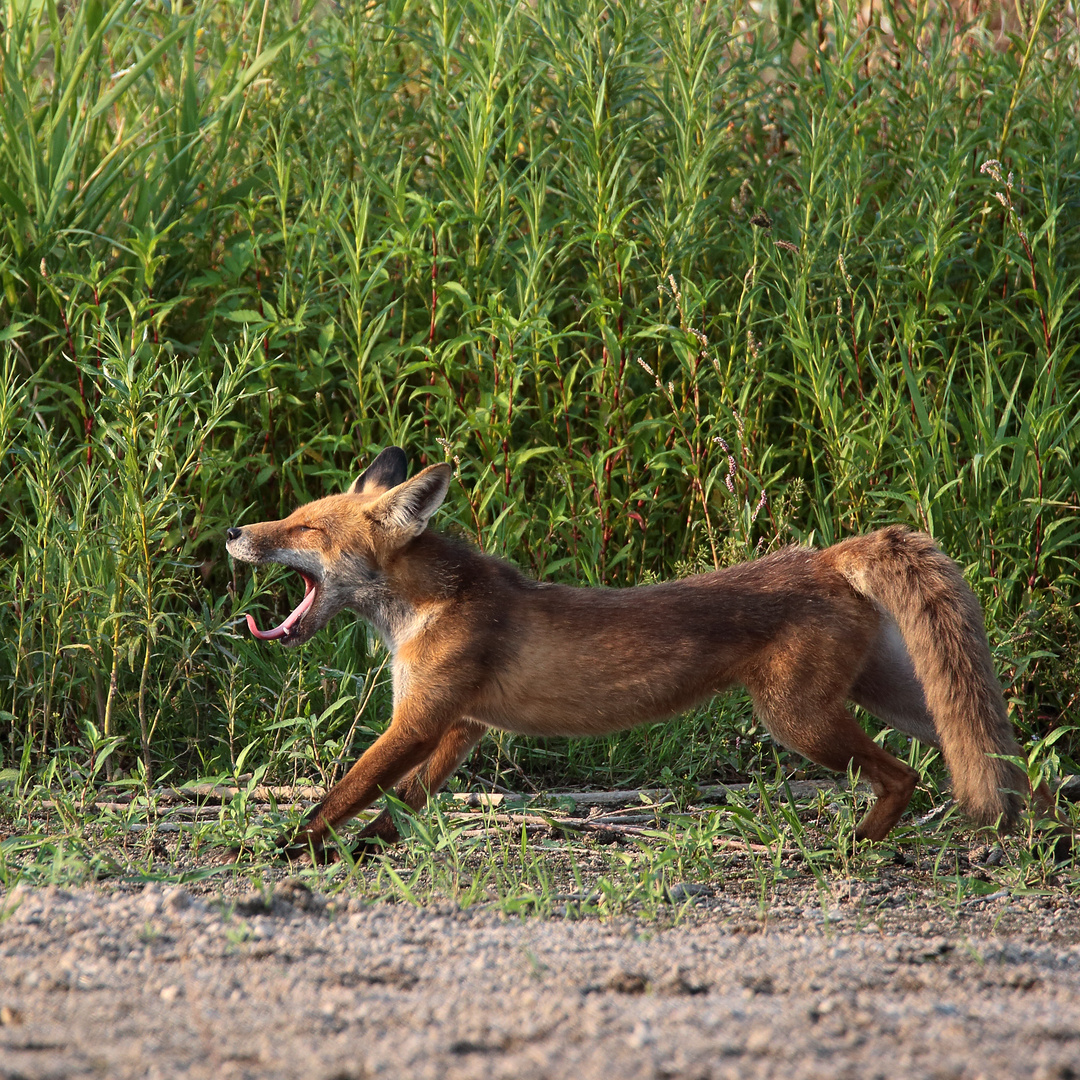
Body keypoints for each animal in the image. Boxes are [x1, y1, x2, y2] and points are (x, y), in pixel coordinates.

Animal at [225, 442, 1054, 855]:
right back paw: (1037, 840)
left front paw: (288, 848)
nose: (235, 531)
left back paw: (852, 849)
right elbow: (402, 800)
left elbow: (349, 789)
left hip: (800, 721)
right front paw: (359, 851)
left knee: (905, 776)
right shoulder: (459, 726)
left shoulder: (421, 719)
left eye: (306, 528)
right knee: (1009, 758)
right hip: (896, 699)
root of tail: (824, 556)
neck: (425, 611)